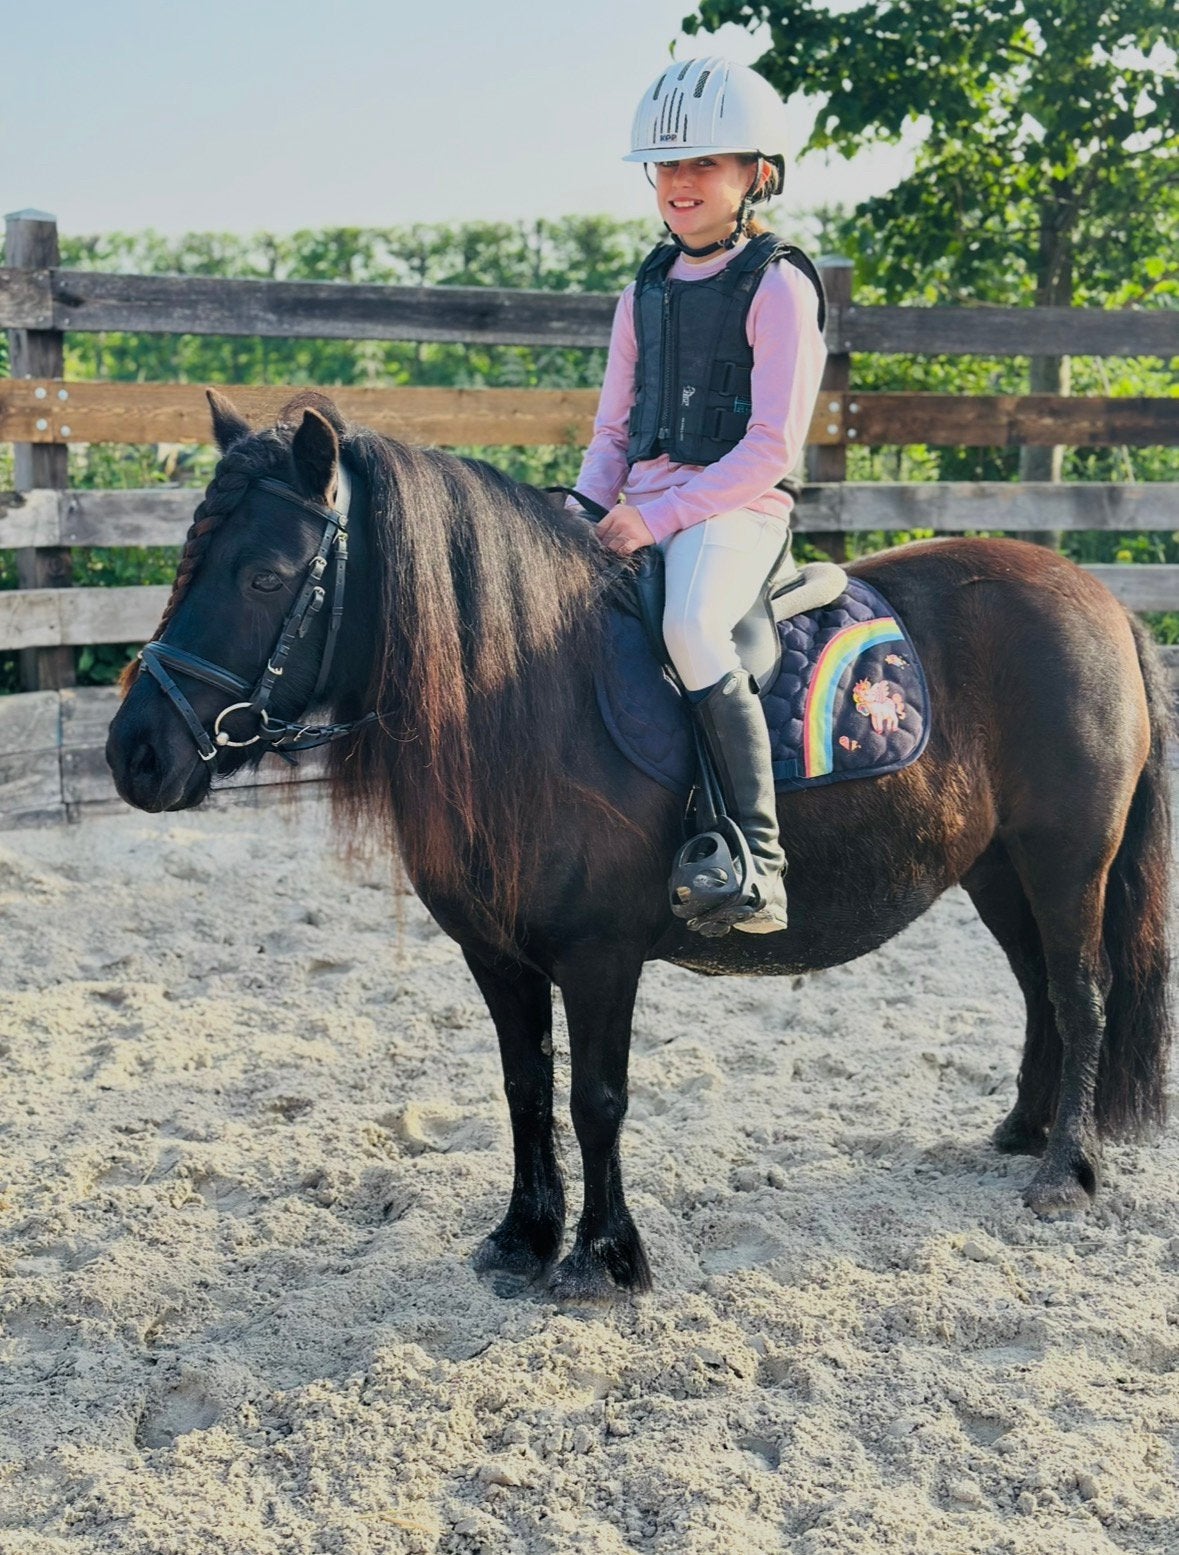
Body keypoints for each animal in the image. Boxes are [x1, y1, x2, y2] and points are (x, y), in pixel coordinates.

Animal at [106, 389, 1173, 1303]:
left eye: (266, 575)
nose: (133, 752)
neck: (529, 694)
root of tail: (1097, 597)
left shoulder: (600, 957)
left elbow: (596, 1099)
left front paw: (602, 1257)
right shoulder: (497, 954)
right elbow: (524, 1088)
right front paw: (522, 1238)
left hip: (1066, 858)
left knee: (1081, 993)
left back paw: (1065, 1169)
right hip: (995, 867)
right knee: (1038, 990)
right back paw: (1023, 1130)